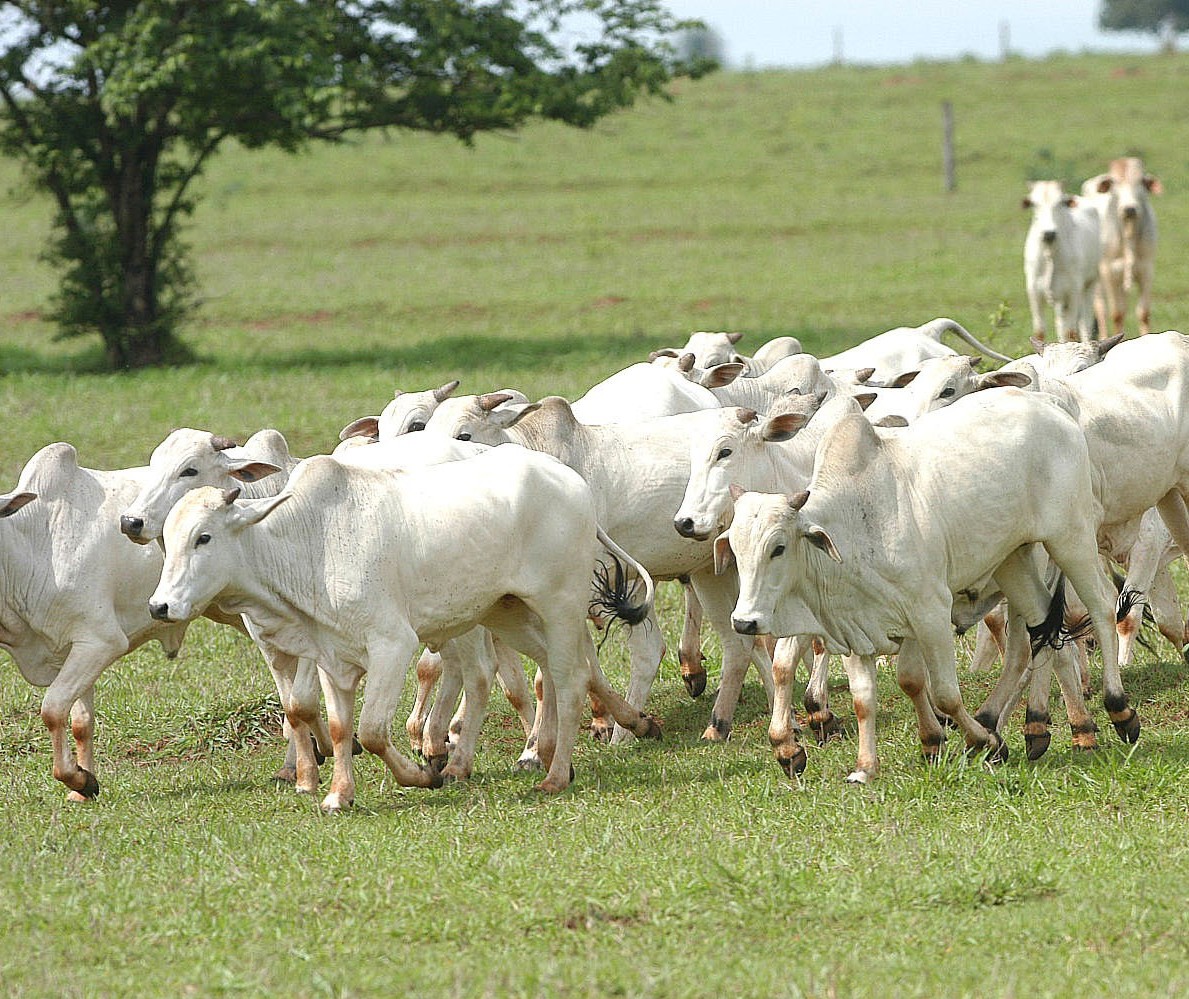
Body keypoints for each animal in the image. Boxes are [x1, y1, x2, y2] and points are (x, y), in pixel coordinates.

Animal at [148, 444, 661, 813]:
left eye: (204, 537)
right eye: (167, 541)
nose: (160, 605)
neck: (312, 544)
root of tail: (570, 480)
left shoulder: (392, 646)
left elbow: (373, 731)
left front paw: (422, 775)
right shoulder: (331, 657)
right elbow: (340, 728)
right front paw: (338, 795)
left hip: (559, 606)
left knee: (569, 679)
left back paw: (554, 774)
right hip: (507, 612)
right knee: (564, 670)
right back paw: (631, 724)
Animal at [713, 385, 1122, 784]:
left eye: (778, 547)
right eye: (734, 547)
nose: (744, 621)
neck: (857, 522)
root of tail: (1048, 402)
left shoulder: (930, 612)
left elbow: (944, 694)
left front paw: (982, 742)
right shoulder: (859, 625)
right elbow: (871, 695)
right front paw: (868, 765)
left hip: (1069, 538)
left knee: (1099, 607)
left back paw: (1113, 710)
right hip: (1013, 562)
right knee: (1042, 636)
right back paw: (1036, 728)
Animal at [1022, 181, 1103, 344]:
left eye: (1060, 202)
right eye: (1034, 203)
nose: (1049, 233)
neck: (1050, 251)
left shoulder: (1073, 292)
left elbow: (1071, 333)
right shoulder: (1034, 292)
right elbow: (1040, 332)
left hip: (1089, 284)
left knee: (1085, 324)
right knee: (1060, 324)